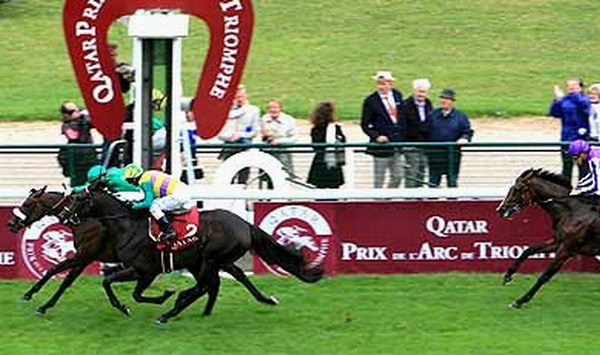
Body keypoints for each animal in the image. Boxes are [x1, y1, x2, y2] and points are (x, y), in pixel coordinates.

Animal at [59, 191, 324, 324]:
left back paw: (170, 311)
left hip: (209, 259)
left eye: (78, 199)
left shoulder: (144, 270)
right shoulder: (141, 271)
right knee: (228, 279)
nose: (63, 216)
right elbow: (116, 285)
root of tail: (245, 224)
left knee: (205, 286)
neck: (128, 226)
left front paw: (154, 299)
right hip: (213, 261)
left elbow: (120, 287)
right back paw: (262, 300)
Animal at [500, 170, 600, 308]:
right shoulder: (558, 242)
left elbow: (545, 275)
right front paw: (508, 275)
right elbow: (529, 250)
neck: (571, 211)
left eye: (517, 189)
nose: (501, 210)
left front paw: (520, 301)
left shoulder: (567, 249)